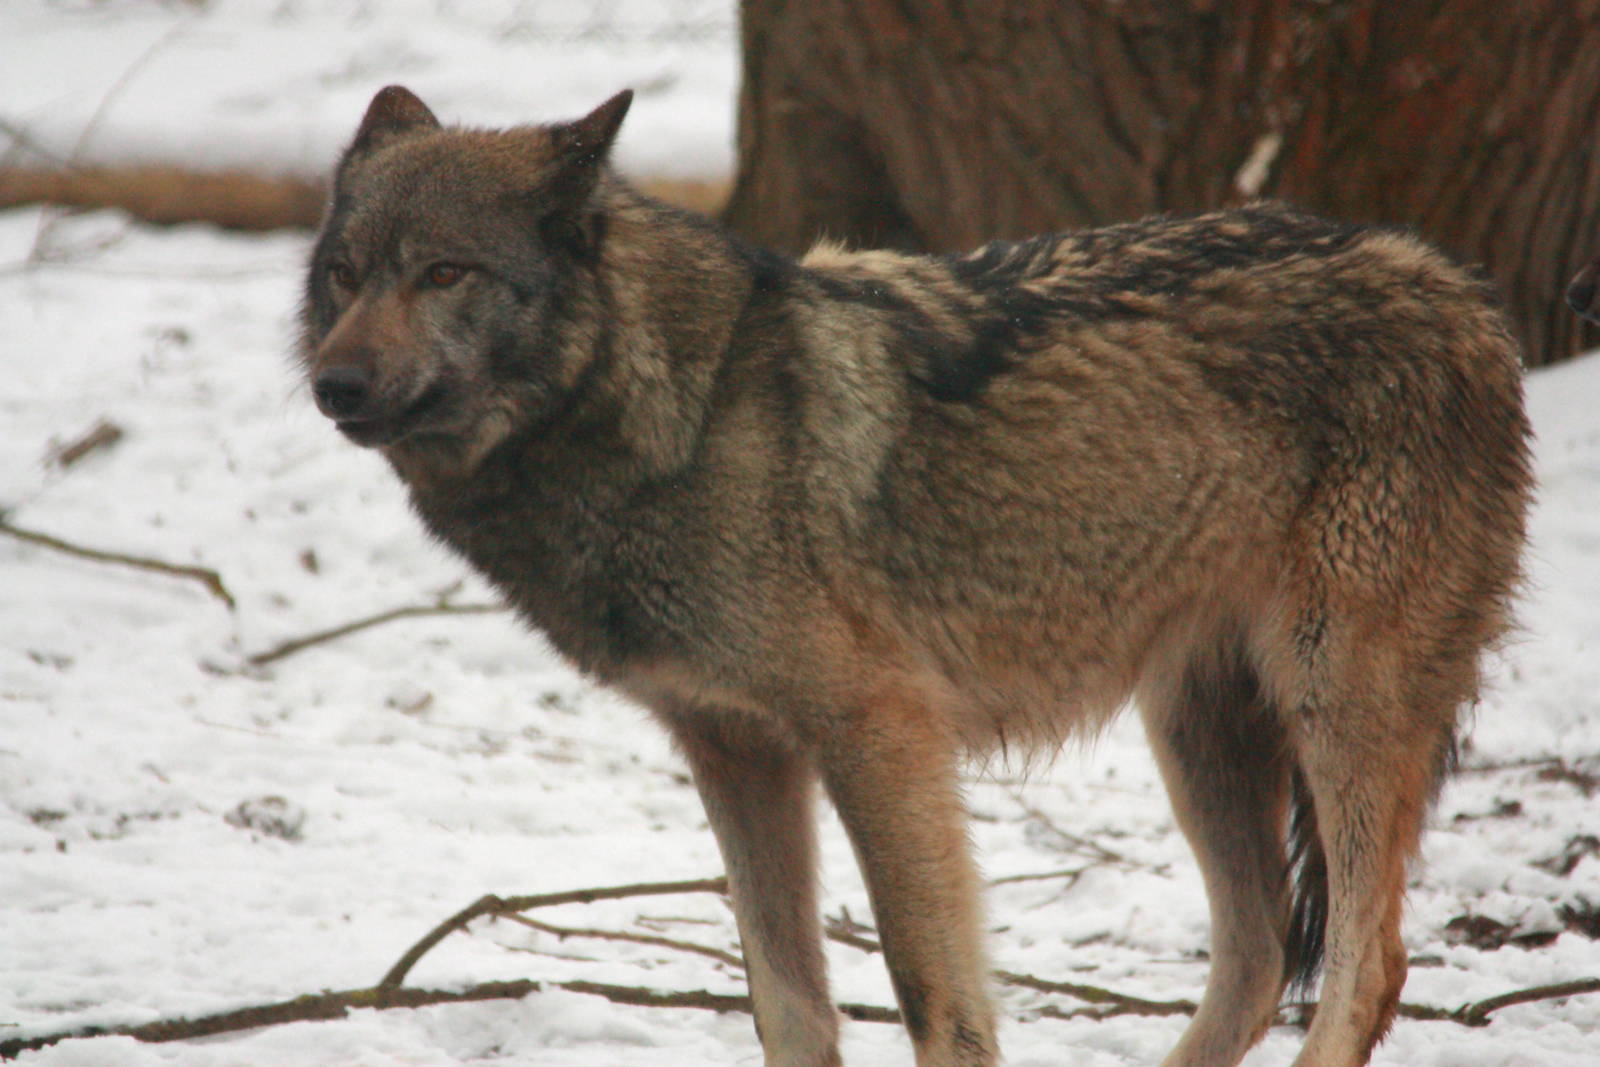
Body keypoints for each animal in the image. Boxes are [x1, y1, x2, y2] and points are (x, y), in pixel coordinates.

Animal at [297, 86, 1534, 1067]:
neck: (673, 417)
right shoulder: (735, 748)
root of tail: (1459, 288)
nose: (332, 386)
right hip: (1197, 730)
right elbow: (787, 1003)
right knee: (1259, 957)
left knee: (1365, 963)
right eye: (346, 275)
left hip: (1331, 703)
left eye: (444, 272)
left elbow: (929, 993)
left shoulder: (878, 728)